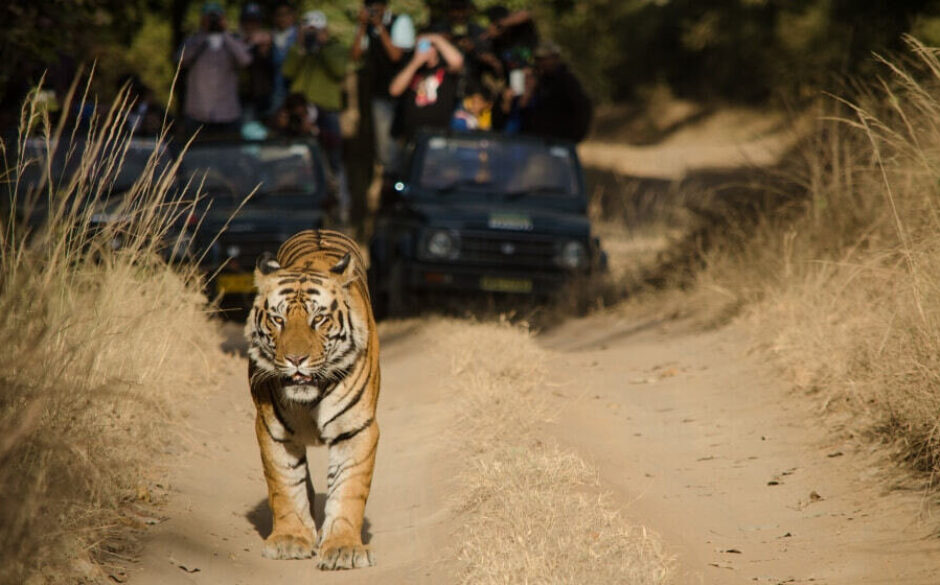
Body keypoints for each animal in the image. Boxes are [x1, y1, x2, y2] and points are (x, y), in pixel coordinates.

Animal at [244, 229, 380, 572]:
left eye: (318, 319)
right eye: (277, 319)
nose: (295, 360)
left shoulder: (356, 429)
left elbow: (348, 489)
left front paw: (343, 548)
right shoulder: (272, 429)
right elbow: (285, 484)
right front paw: (290, 539)